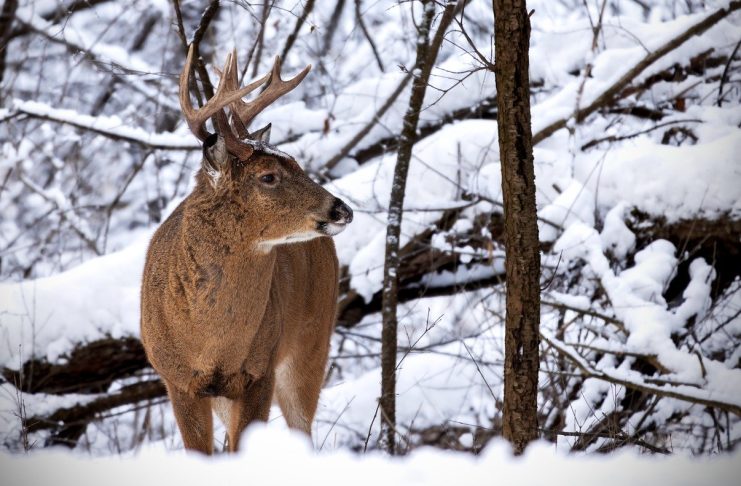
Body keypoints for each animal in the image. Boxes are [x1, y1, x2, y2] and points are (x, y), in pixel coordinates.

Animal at [139, 46, 352, 456]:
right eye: (268, 176)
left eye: (297, 162)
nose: (342, 209)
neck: (211, 343)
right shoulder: (177, 380)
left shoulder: (259, 371)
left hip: (312, 342)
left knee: (303, 428)